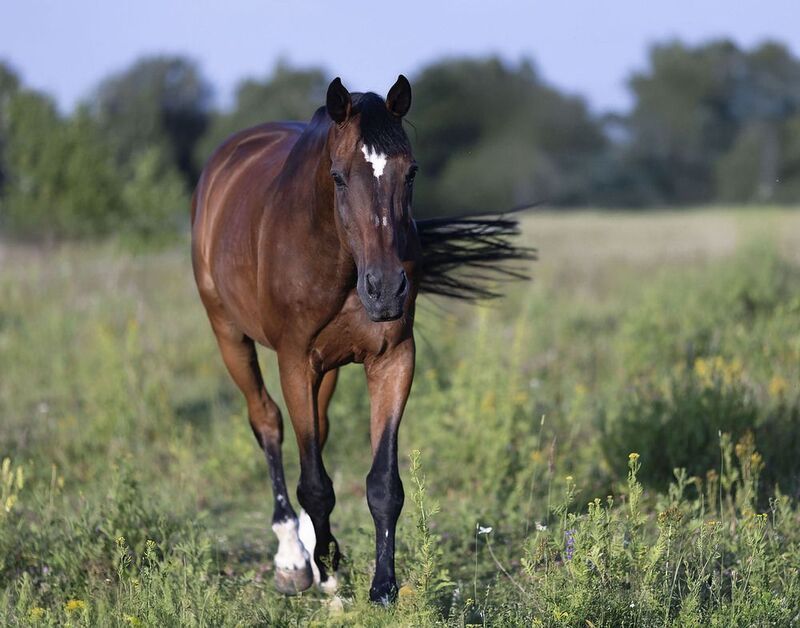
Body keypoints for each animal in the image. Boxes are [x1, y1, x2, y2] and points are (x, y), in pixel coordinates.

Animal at [191, 75, 530, 604]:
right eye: (337, 176)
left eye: (411, 173)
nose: (386, 289)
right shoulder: (294, 361)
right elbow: (314, 481)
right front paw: (327, 572)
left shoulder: (393, 359)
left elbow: (382, 483)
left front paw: (382, 586)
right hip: (229, 334)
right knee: (267, 421)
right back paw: (293, 557)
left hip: (326, 366)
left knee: (318, 429)